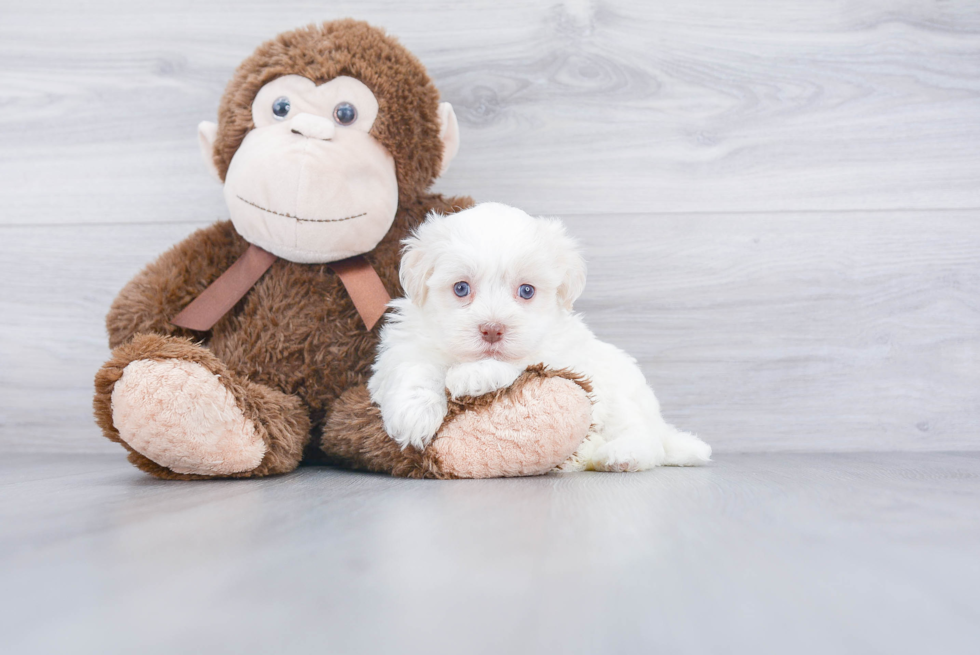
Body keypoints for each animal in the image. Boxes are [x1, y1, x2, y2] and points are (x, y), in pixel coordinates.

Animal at [368, 202, 712, 468]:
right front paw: (415, 414)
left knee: (642, 435)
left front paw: (472, 375)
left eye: (527, 291)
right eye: (461, 288)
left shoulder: (561, 355)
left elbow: (521, 360)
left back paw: (621, 455)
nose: (492, 329)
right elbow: (413, 366)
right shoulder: (406, 342)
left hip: (622, 397)